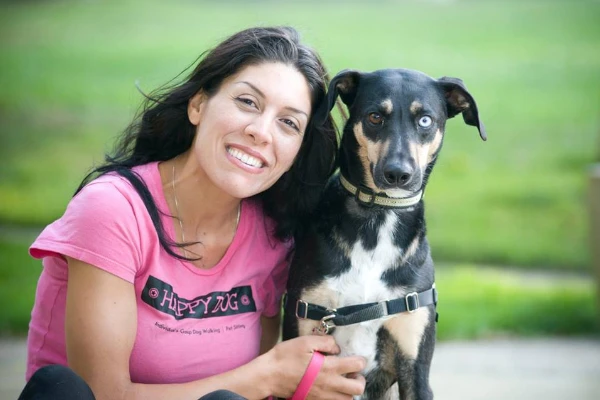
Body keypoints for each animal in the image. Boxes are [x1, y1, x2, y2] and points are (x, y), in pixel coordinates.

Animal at [284, 69, 486, 400]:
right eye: (375, 116)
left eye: (425, 120)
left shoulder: (415, 365)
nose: (398, 174)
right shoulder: (305, 335)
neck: (379, 217)